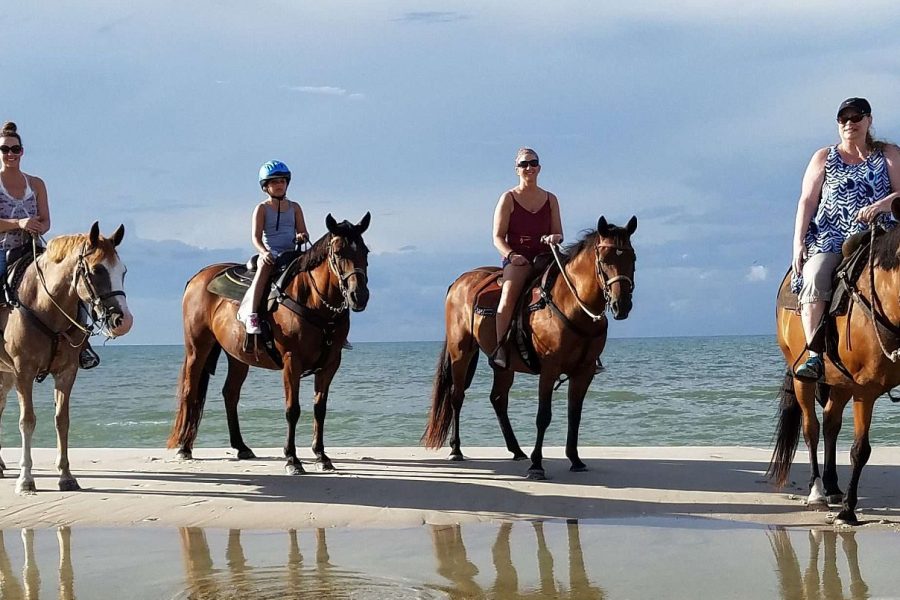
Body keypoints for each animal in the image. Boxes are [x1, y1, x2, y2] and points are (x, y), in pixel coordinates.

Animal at [0, 223, 134, 494]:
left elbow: (62, 420)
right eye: (97, 270)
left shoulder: (67, 371)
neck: (43, 304)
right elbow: (27, 421)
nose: (124, 321)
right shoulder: (23, 372)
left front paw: (66, 475)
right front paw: (26, 479)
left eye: (123, 271)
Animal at [167, 212, 368, 474]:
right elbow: (292, 410)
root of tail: (199, 276)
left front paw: (322, 456)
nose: (359, 296)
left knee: (230, 394)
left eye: (365, 251)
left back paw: (241, 446)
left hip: (237, 356)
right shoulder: (292, 361)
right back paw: (184, 448)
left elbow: (320, 409)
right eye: (339, 252)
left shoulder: (330, 363)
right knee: (190, 391)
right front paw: (292, 459)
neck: (313, 300)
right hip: (197, 349)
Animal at [420, 216, 636, 478]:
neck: (572, 303)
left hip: (503, 365)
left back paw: (516, 449)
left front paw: (575, 459)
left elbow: (574, 414)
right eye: (604, 260)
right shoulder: (549, 368)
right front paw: (537, 465)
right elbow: (543, 416)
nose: (621, 305)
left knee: (498, 399)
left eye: (632, 259)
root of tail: (458, 282)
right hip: (461, 352)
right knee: (457, 396)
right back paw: (456, 449)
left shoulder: (584, 372)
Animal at [768, 199, 900, 524]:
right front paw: (848, 512)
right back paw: (817, 491)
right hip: (802, 378)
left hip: (839, 382)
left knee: (830, 424)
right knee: (812, 428)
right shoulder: (865, 390)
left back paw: (832, 486)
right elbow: (860, 450)